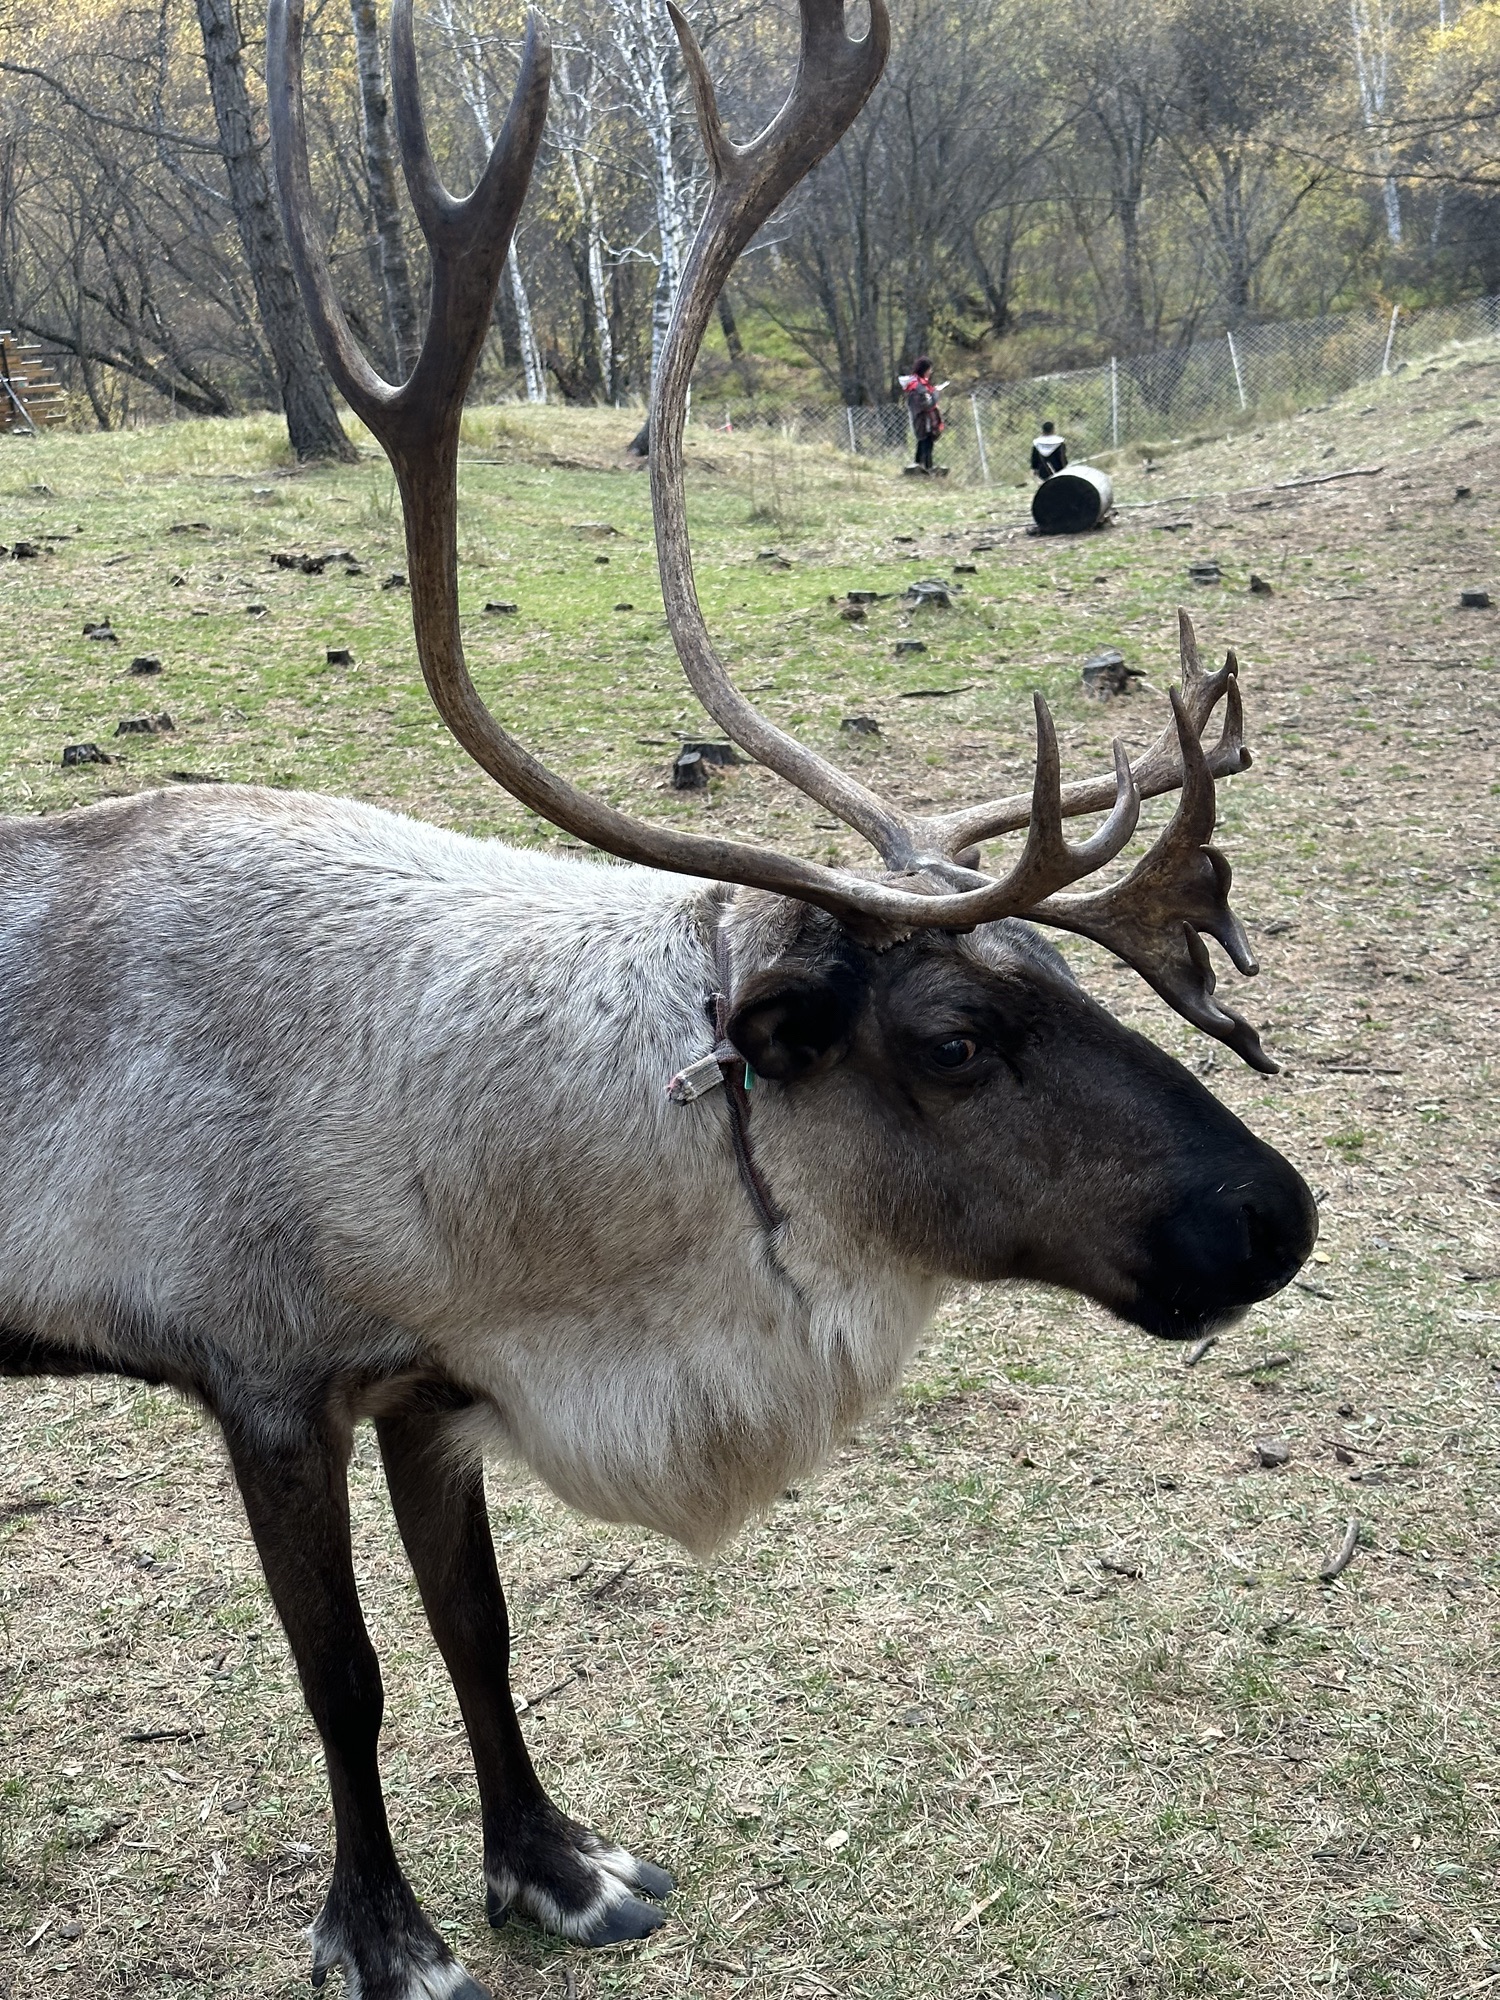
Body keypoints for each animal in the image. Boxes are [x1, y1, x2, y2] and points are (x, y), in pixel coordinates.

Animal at [0, 0, 1316, 1993]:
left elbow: (477, 1633)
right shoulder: (267, 1381)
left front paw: (556, 1865)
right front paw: (385, 1933)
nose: (1279, 1213)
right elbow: (345, 1676)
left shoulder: (432, 1385)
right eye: (951, 1041)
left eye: (1059, 970)